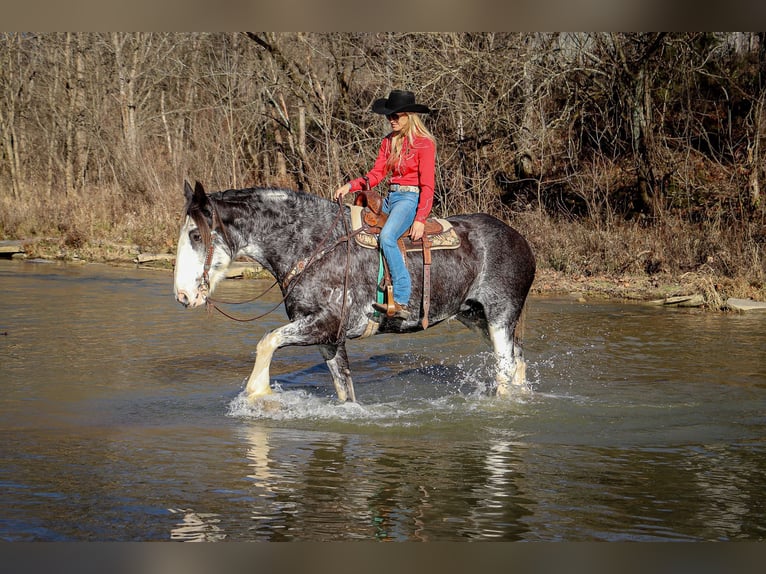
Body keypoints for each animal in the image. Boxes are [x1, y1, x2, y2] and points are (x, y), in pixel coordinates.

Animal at [174, 182, 536, 402]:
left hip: (500, 317)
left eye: (196, 235)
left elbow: (267, 341)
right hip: (475, 317)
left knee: (506, 366)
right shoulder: (329, 340)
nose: (182, 296)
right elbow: (344, 390)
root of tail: (520, 239)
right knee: (518, 359)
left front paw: (259, 393)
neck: (312, 245)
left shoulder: (324, 324)